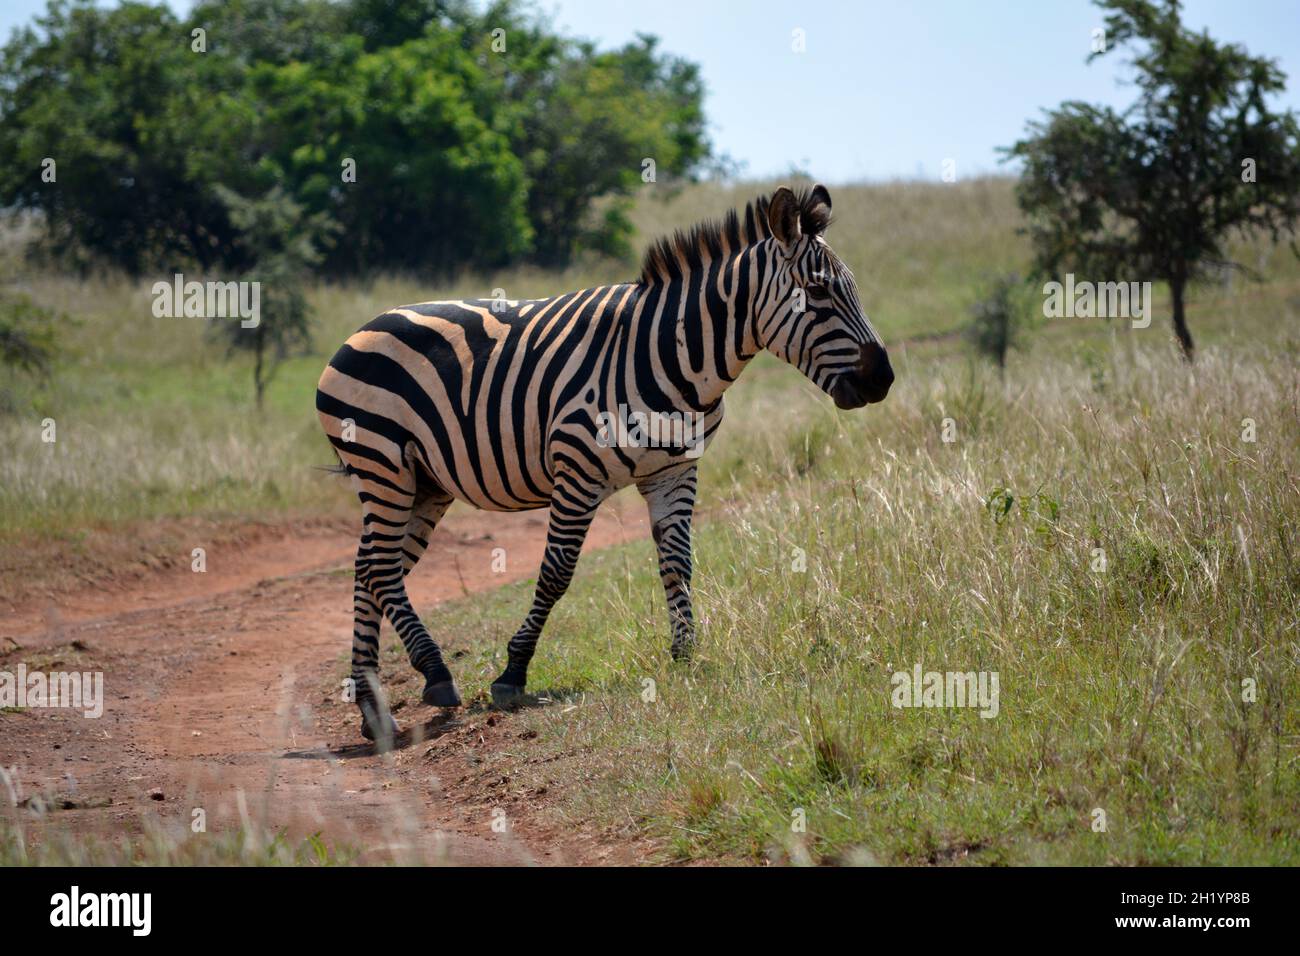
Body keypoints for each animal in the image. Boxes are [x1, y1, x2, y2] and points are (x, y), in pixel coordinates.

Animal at [317, 184, 894, 738]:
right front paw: (513, 672)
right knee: (381, 569)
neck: (676, 358)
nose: (883, 380)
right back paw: (433, 673)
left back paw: (373, 709)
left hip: (425, 482)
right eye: (817, 292)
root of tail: (360, 329)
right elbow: (556, 572)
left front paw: (685, 656)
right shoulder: (577, 472)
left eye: (853, 289)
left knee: (370, 568)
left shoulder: (674, 472)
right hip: (383, 464)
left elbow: (678, 562)